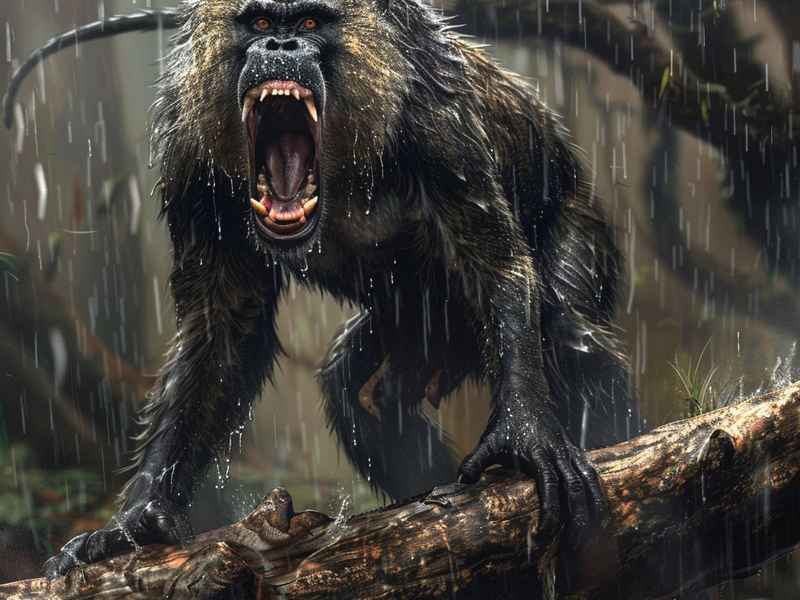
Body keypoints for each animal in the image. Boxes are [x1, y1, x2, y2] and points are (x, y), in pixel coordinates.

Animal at [3, 0, 638, 579]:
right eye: (259, 22)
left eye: (310, 22)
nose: (280, 46)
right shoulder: (190, 157)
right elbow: (221, 329)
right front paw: (136, 522)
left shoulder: (439, 120)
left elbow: (495, 263)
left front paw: (524, 437)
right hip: (421, 332)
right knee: (355, 391)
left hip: (584, 239)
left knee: (567, 332)